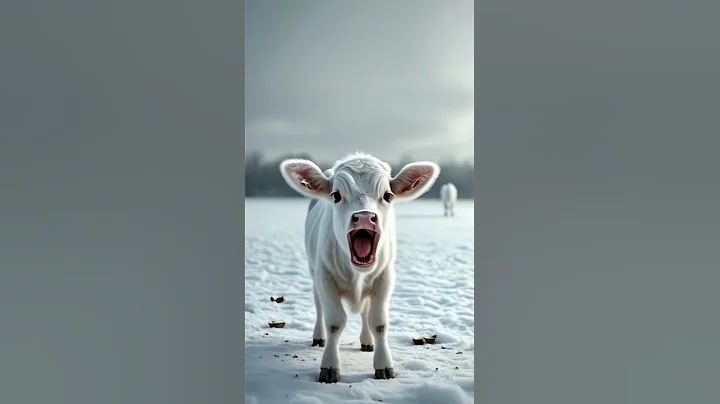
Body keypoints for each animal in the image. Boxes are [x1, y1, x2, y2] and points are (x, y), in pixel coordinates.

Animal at [279, 152, 440, 383]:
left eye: (387, 195)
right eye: (336, 195)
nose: (364, 217)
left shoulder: (385, 277)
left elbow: (379, 322)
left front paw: (383, 364)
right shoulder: (325, 277)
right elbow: (334, 322)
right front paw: (329, 366)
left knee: (365, 311)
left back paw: (367, 341)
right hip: (313, 269)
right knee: (319, 305)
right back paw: (318, 337)